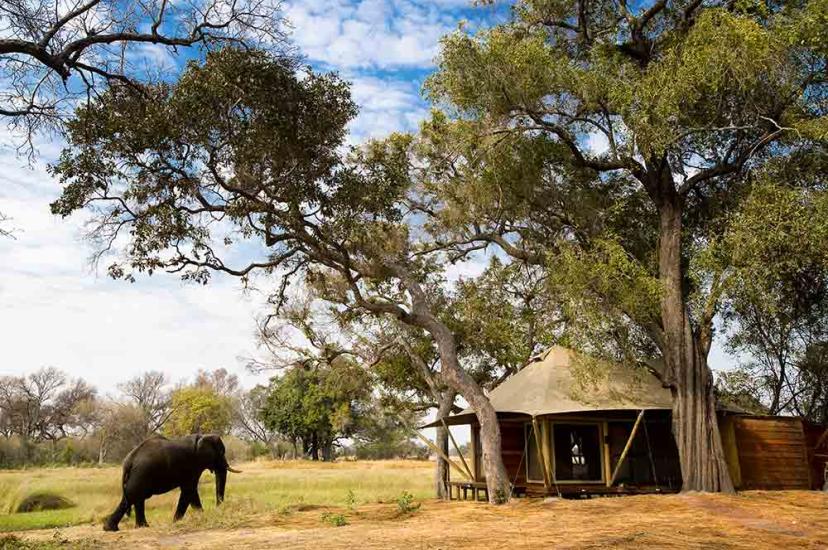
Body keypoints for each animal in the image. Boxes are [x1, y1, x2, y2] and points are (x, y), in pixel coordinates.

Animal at [103, 434, 240, 531]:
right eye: (221, 452)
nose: (218, 508)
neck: (201, 437)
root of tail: (128, 461)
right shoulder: (192, 465)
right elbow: (189, 490)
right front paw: (177, 522)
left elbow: (191, 492)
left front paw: (198, 517)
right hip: (141, 474)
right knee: (132, 497)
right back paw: (112, 529)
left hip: (138, 475)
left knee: (135, 498)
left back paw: (140, 527)